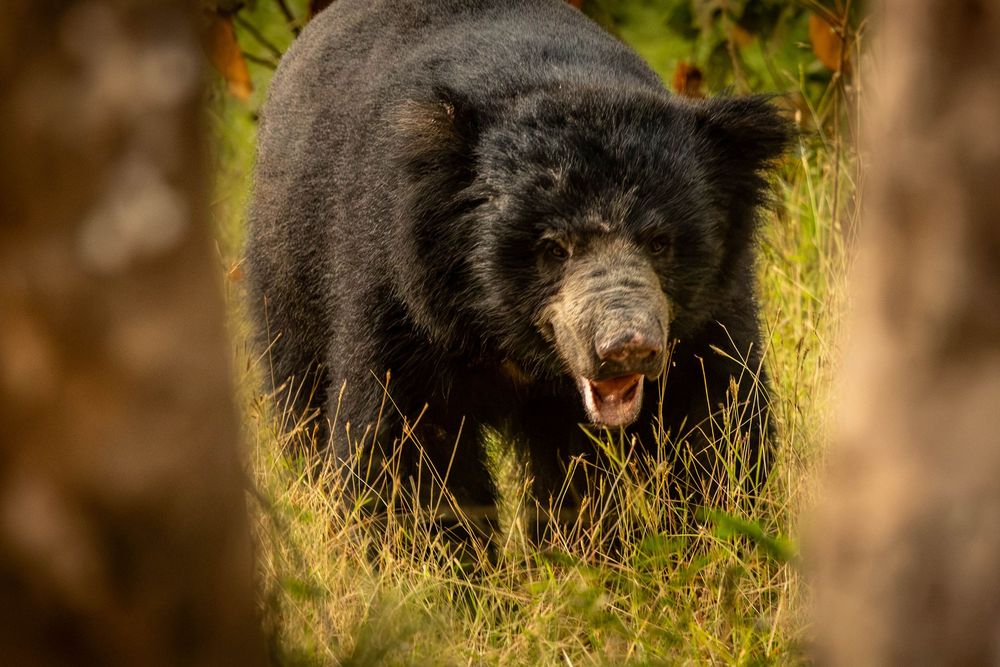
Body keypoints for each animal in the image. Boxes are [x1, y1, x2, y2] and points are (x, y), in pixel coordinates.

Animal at [246, 0, 791, 538]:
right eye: (553, 248)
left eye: (660, 243)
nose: (627, 346)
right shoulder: (402, 295)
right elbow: (408, 441)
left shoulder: (707, 315)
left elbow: (714, 417)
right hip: (288, 272)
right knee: (300, 395)